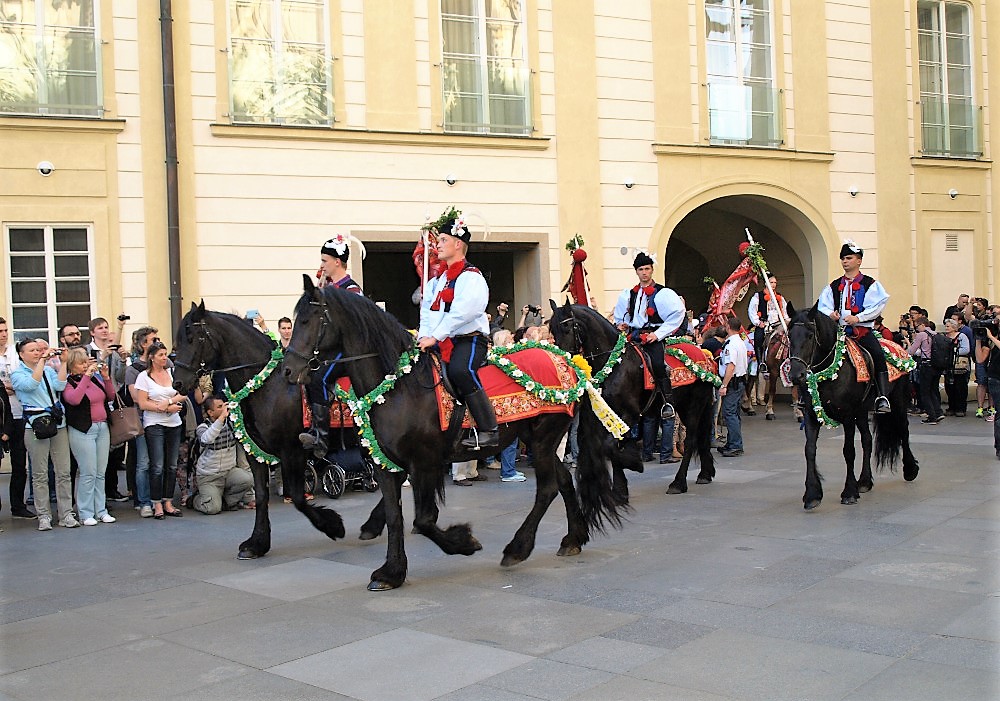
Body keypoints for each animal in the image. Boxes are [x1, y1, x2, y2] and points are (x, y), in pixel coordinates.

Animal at [170, 300, 384, 556]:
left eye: (193, 338)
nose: (177, 383)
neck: (267, 387)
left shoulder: (292, 451)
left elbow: (299, 497)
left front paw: (332, 525)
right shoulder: (255, 453)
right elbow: (262, 495)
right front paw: (257, 542)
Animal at [284, 278, 624, 592]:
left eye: (309, 321)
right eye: (295, 321)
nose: (288, 370)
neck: (399, 386)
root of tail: (569, 364)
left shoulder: (425, 462)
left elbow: (423, 520)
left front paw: (463, 542)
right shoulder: (386, 464)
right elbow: (396, 516)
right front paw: (390, 572)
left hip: (543, 438)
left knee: (548, 488)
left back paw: (518, 548)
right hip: (538, 439)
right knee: (563, 481)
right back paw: (572, 538)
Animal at [548, 300, 720, 498]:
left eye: (567, 328)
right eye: (552, 330)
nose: (562, 361)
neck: (615, 364)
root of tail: (705, 356)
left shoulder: (629, 414)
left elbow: (613, 445)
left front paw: (631, 467)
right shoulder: (608, 415)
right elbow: (611, 445)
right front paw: (620, 487)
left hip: (694, 406)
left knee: (691, 440)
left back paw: (678, 482)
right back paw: (704, 473)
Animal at [788, 306, 920, 508]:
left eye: (810, 335)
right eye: (789, 335)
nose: (796, 375)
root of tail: (901, 348)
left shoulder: (848, 415)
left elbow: (848, 451)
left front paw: (849, 492)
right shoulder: (811, 415)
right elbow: (809, 450)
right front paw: (812, 494)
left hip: (897, 402)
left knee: (903, 432)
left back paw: (910, 469)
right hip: (862, 410)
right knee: (867, 439)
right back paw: (864, 481)